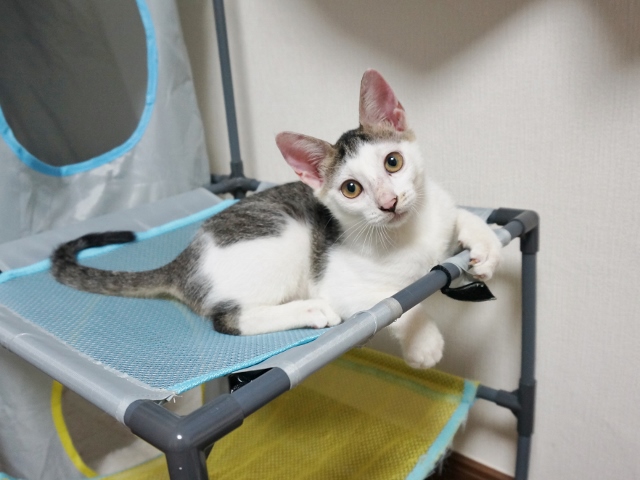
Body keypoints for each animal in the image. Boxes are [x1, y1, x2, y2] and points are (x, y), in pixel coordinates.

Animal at [51, 69, 501, 369]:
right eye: (351, 188)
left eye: (393, 162)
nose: (389, 202)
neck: (408, 233)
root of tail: (184, 260)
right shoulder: (342, 284)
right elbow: (397, 301)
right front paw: (424, 342)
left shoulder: (438, 208)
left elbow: (462, 216)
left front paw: (487, 250)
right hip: (286, 239)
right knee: (228, 318)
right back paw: (310, 311)